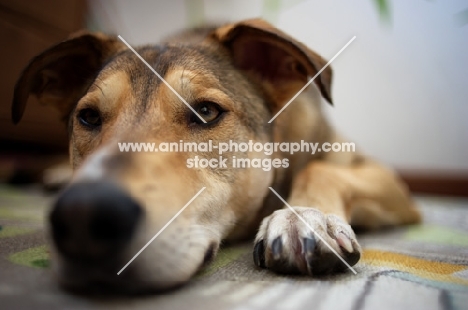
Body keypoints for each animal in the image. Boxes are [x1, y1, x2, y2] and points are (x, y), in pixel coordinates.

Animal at [11, 18, 420, 294]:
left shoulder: (387, 180)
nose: (82, 215)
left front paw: (303, 217)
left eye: (206, 112)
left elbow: (321, 170)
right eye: (88, 117)